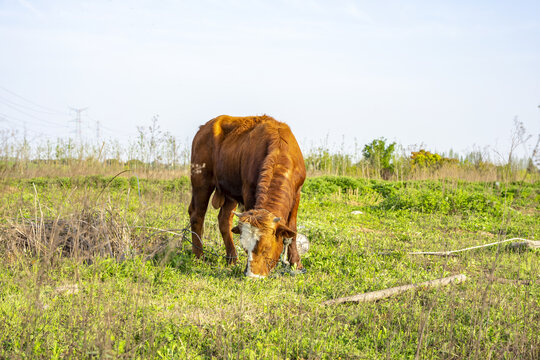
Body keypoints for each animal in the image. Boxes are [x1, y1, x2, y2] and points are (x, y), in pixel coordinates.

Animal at [190, 114, 308, 278]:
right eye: (246, 247)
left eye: (266, 248)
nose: (253, 276)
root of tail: (204, 127)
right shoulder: (248, 191)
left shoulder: (296, 194)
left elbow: (292, 230)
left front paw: (296, 263)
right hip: (201, 181)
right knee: (197, 216)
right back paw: (199, 256)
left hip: (230, 191)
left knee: (224, 219)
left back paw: (232, 258)